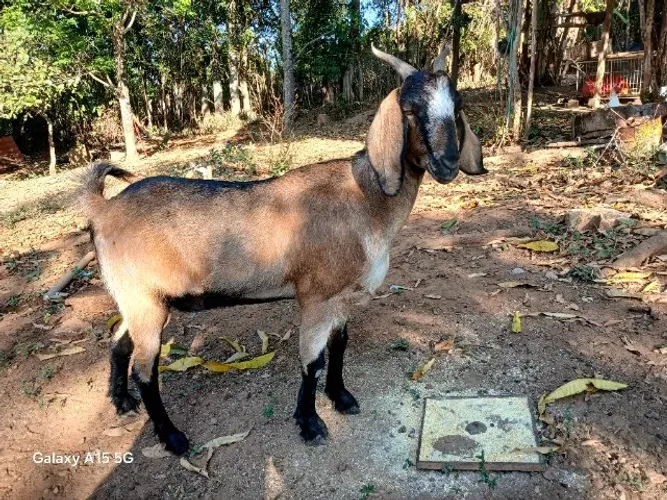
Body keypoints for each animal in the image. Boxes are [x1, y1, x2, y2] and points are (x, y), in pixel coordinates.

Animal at [79, 45, 486, 455]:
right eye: (410, 110)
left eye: (458, 106)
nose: (448, 162)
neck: (365, 199)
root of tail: (103, 208)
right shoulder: (317, 296)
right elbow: (313, 361)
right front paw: (310, 423)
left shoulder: (343, 296)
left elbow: (340, 345)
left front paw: (341, 397)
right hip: (143, 299)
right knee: (144, 369)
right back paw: (172, 437)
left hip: (140, 299)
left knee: (119, 343)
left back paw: (122, 401)